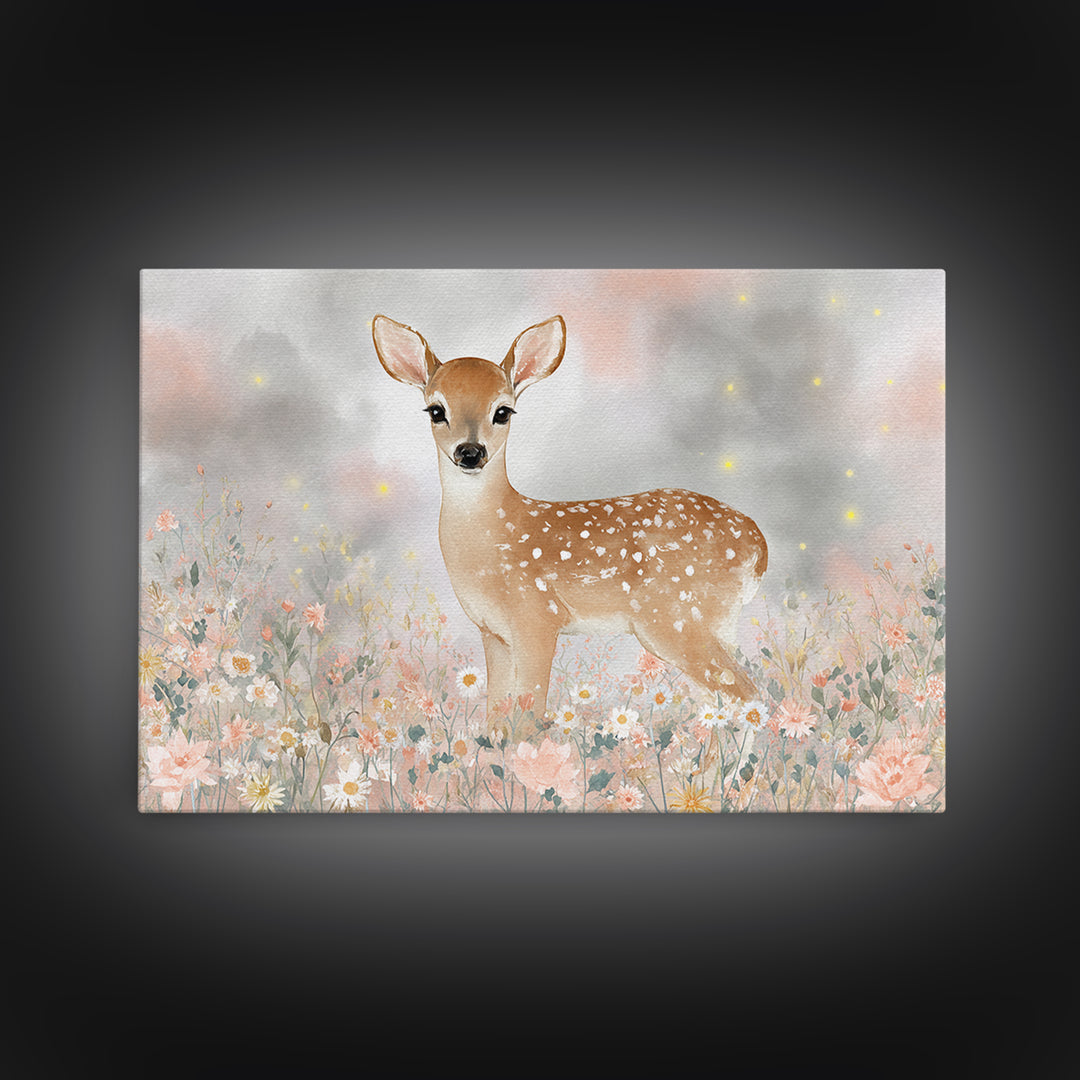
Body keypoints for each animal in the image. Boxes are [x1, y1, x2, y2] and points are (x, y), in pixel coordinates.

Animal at [372, 314, 768, 753]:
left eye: (503, 411)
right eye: (435, 410)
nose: (470, 452)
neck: (494, 536)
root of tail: (758, 545)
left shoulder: (538, 615)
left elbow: (527, 718)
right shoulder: (493, 632)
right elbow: (496, 720)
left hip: (673, 618)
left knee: (744, 694)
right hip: (709, 624)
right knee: (720, 700)